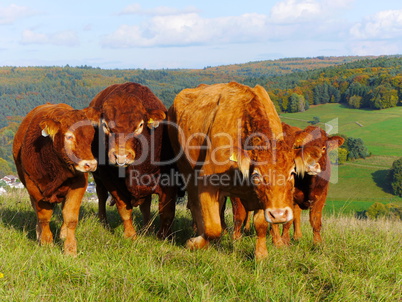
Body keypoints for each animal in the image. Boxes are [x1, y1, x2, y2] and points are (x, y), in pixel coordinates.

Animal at [13, 104, 96, 255]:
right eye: (69, 136)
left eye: (92, 135)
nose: (90, 164)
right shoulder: (33, 186)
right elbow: (44, 216)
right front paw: (46, 242)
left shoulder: (79, 184)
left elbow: (70, 218)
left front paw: (70, 249)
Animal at [86, 81, 176, 239]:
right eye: (105, 125)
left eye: (140, 125)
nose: (121, 156)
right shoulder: (110, 180)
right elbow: (123, 208)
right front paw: (130, 235)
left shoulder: (168, 180)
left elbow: (166, 211)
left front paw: (164, 237)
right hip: (98, 177)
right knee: (101, 195)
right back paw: (104, 222)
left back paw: (147, 229)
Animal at [168, 82, 304, 260]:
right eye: (257, 175)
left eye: (292, 173)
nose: (279, 215)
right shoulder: (207, 181)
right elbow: (213, 228)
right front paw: (196, 242)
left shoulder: (260, 197)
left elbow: (260, 223)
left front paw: (261, 254)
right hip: (186, 169)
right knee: (196, 205)